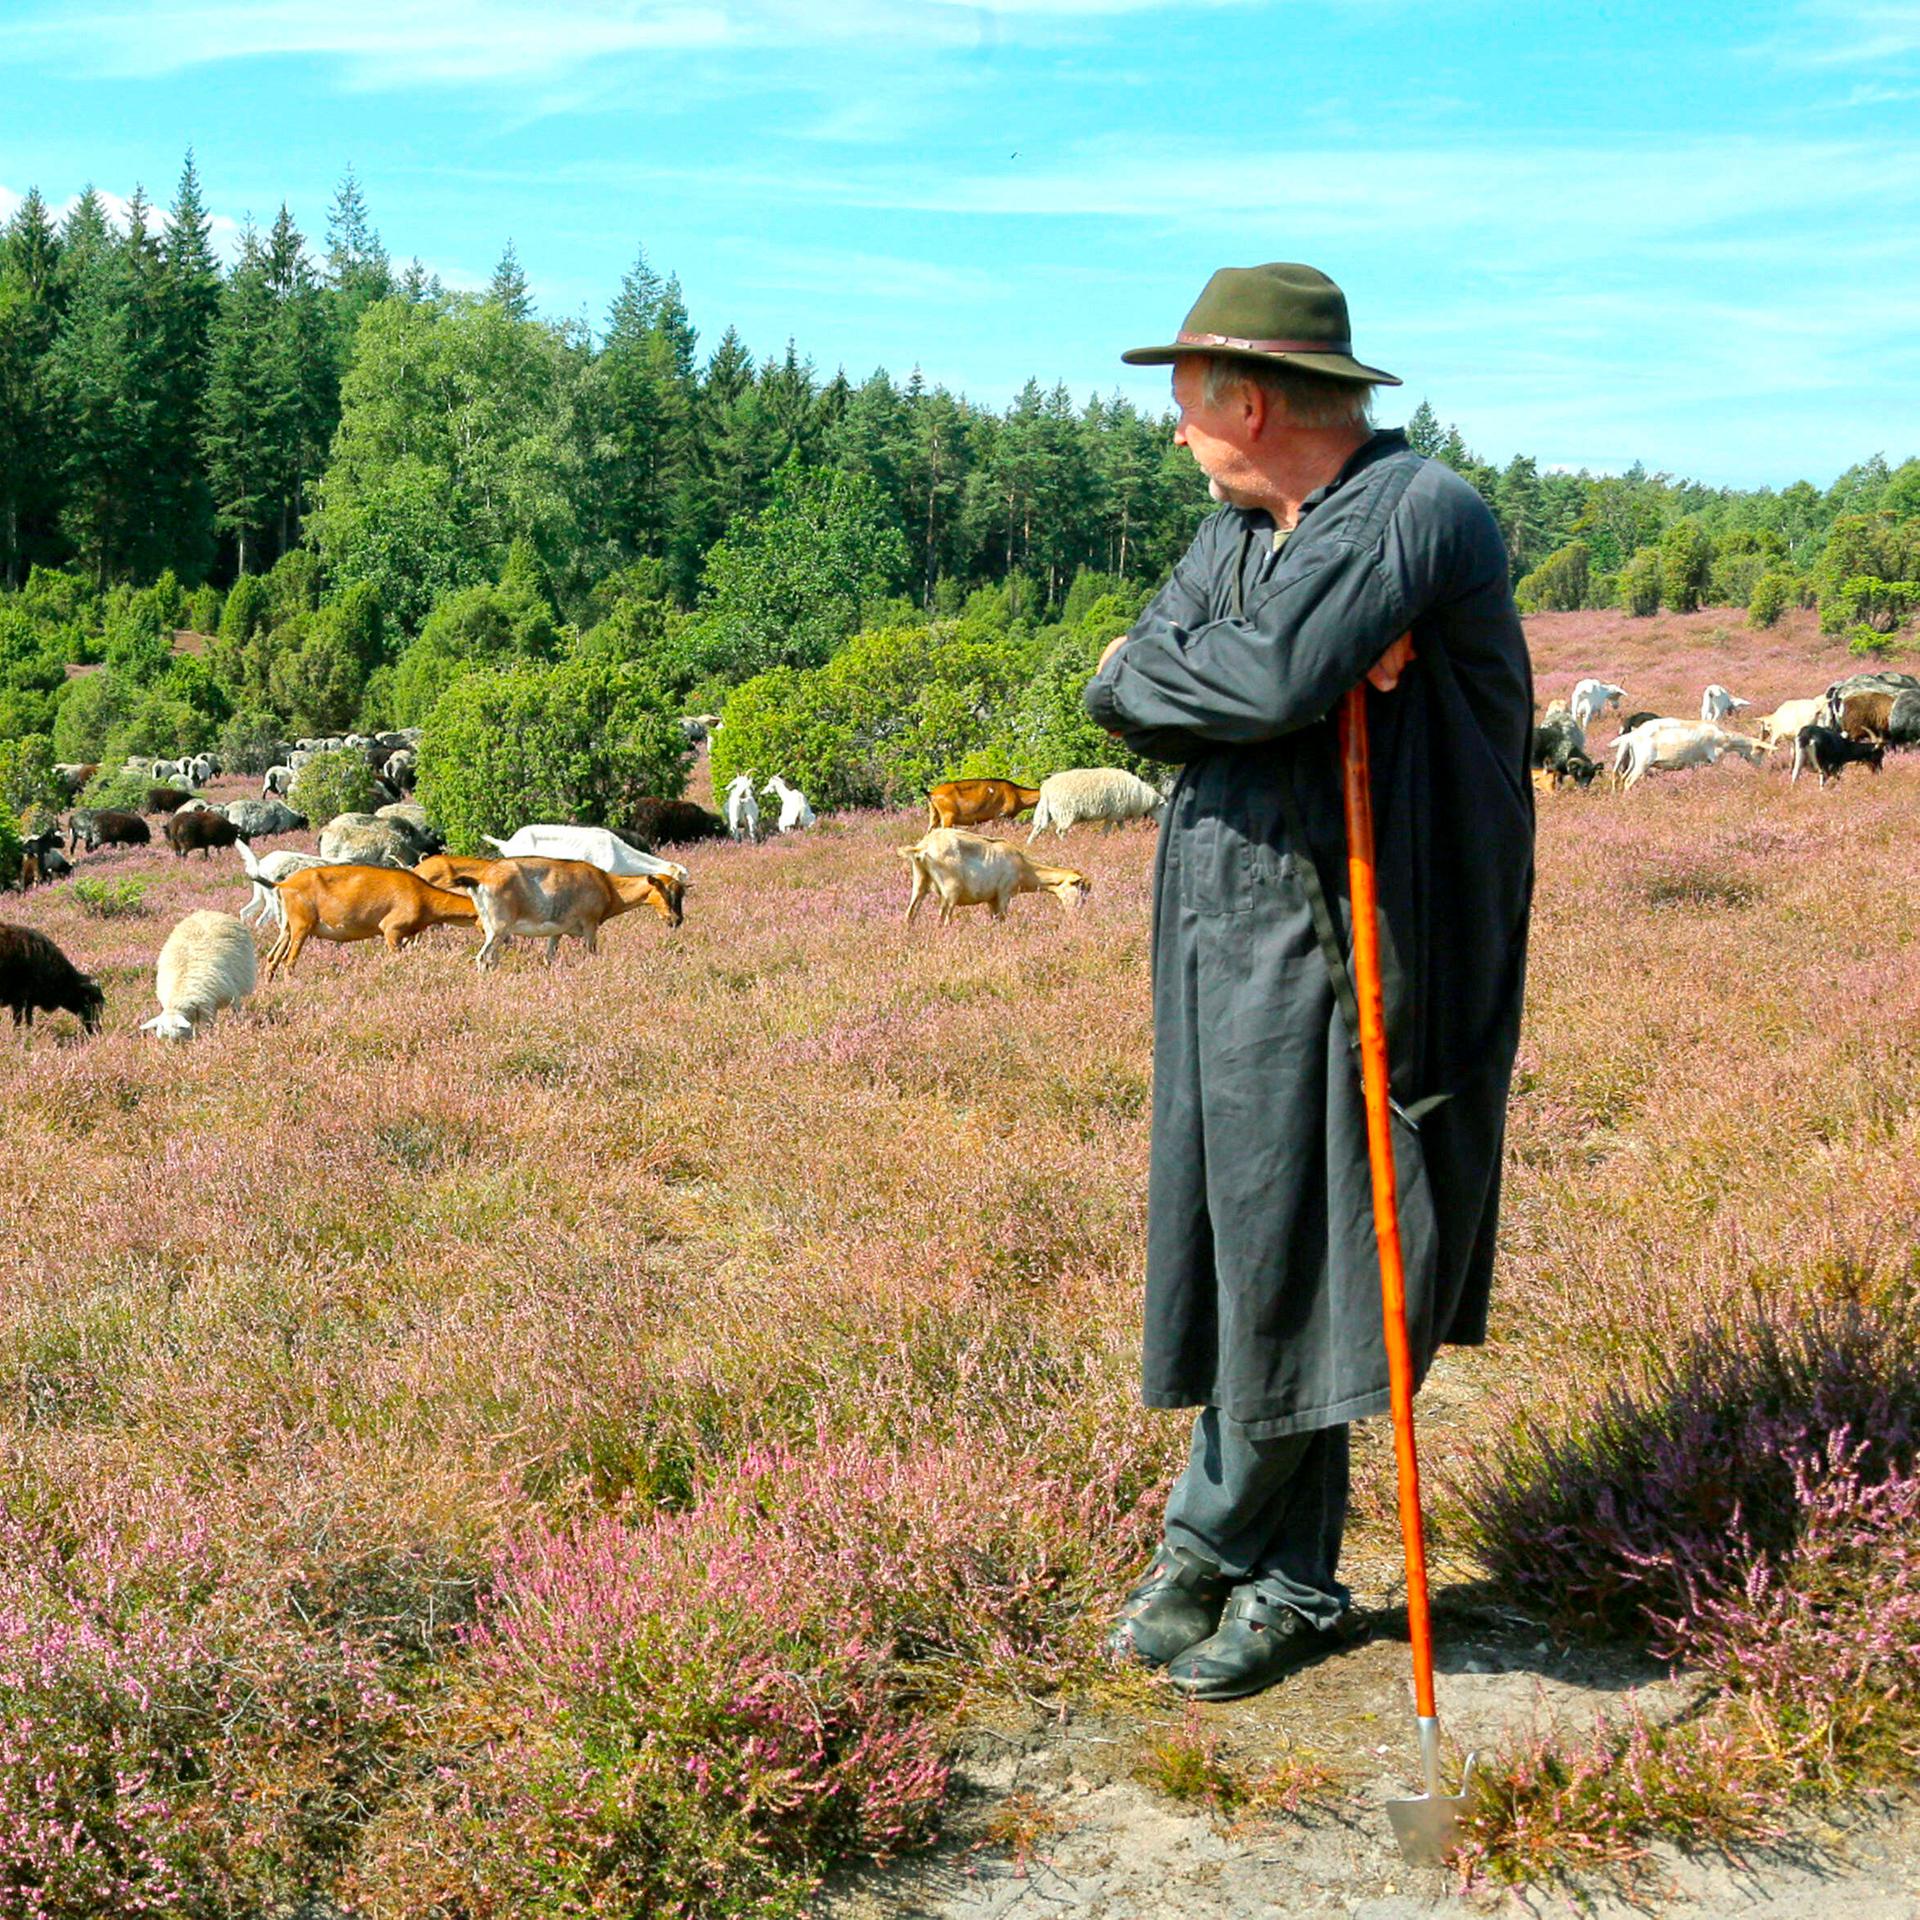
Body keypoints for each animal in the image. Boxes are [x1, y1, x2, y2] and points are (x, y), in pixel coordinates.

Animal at [263, 867, 480, 983]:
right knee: (288, 961)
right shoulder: (391, 931)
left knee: (272, 957)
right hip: (302, 927)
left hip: (288, 928)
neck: (422, 896)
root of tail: (283, 885)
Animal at [894, 825, 1090, 921]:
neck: (1024, 868)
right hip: (951, 888)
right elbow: (1002, 919)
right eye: (1080, 888)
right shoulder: (1004, 893)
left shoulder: (991, 899)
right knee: (943, 917)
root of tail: (923, 847)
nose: (1078, 913)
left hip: (920, 881)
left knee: (910, 914)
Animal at [1029, 764, 1159, 840]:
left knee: (1037, 829)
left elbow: (1120, 829)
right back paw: (1065, 845)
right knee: (1060, 831)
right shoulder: (1115, 813)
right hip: (1065, 812)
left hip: (1047, 812)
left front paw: (1126, 839)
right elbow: (1107, 830)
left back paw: (1029, 847)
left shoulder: (1117, 814)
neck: (1141, 796)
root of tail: (1045, 789)